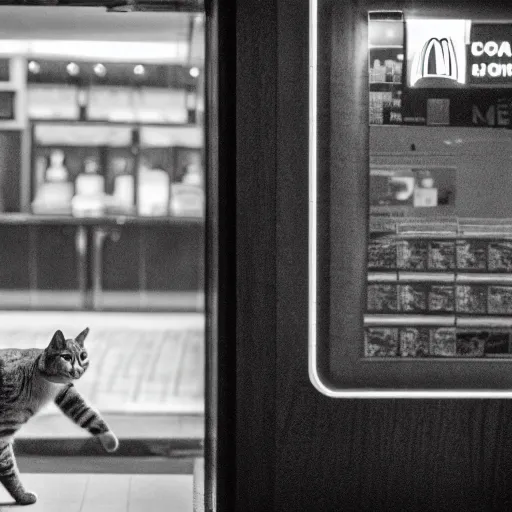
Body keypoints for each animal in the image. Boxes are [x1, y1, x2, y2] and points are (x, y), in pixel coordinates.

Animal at [0, 328, 118, 504]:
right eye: (66, 357)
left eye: (83, 355)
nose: (78, 370)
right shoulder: (3, 433)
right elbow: (8, 468)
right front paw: (22, 496)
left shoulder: (65, 392)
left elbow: (85, 413)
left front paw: (108, 438)